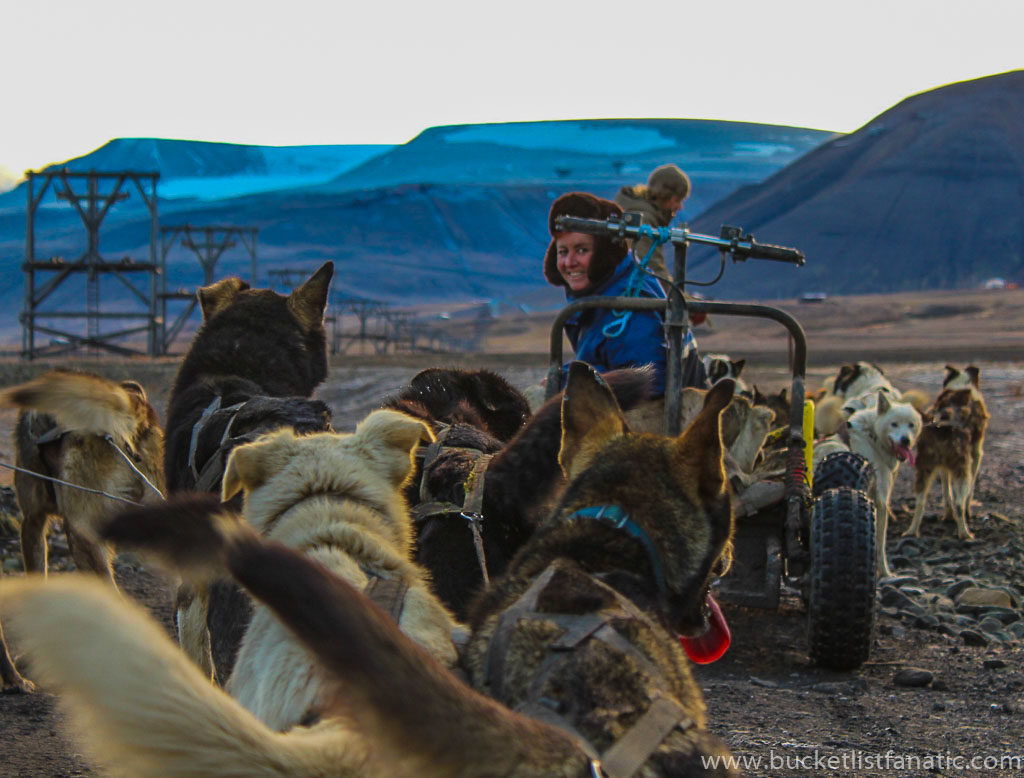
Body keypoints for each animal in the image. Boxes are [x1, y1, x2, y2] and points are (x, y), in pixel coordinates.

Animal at [909, 366, 987, 540]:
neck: (961, 384)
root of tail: (939, 426)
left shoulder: (943, 467)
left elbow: (946, 492)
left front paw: (948, 515)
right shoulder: (976, 454)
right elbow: (968, 494)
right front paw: (967, 512)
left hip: (925, 470)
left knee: (920, 502)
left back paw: (911, 531)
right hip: (962, 471)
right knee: (959, 503)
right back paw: (965, 534)